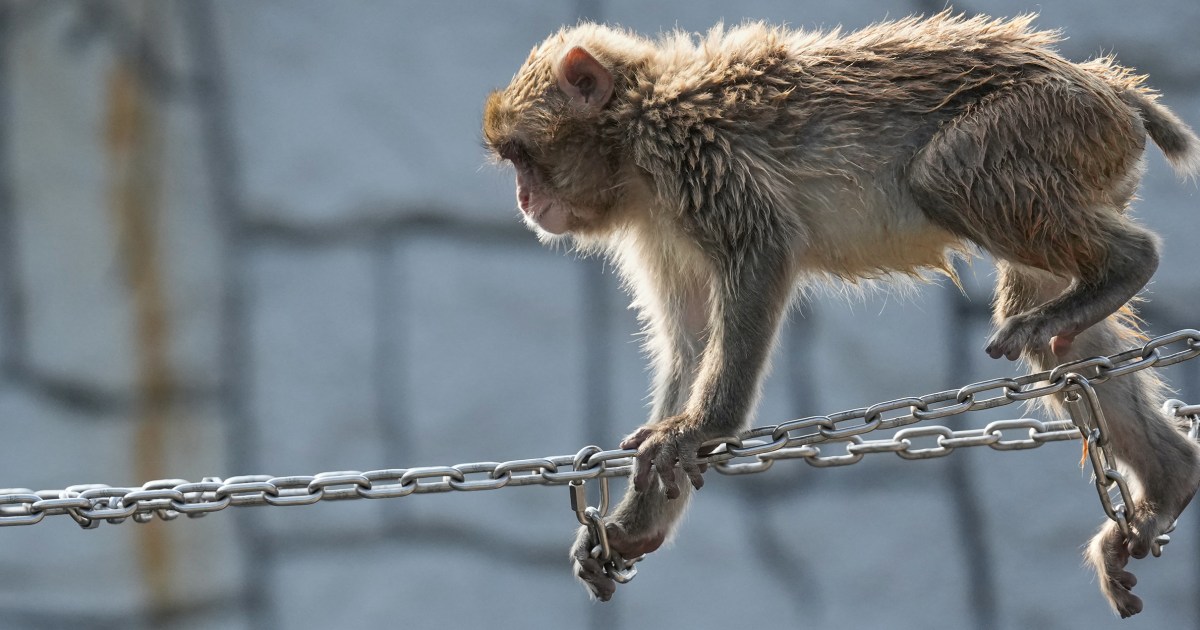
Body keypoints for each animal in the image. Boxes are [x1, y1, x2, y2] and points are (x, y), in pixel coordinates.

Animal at [482, 13, 1200, 617]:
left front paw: (700, 429)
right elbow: (689, 337)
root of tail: (1106, 87)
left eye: (523, 156)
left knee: (945, 173)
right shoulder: (658, 224)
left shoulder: (694, 156)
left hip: (1043, 121)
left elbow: (761, 253)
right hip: (1078, 155)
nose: (523, 200)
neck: (634, 133)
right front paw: (637, 522)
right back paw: (1166, 479)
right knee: (1062, 343)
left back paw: (1127, 265)